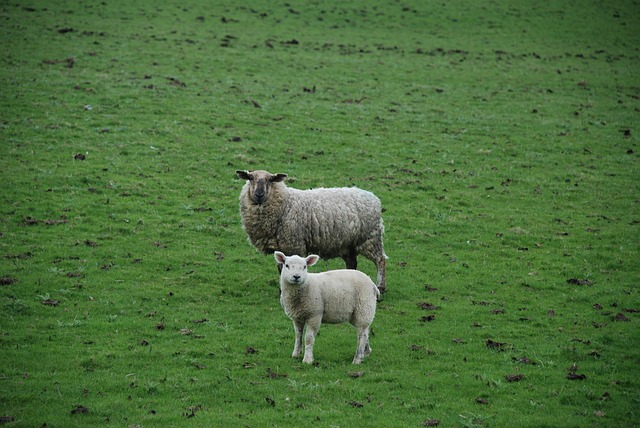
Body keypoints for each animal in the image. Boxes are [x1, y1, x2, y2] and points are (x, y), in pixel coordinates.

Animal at [236, 169, 387, 293]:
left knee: (380, 260)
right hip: (348, 244)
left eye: (271, 179)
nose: (259, 194)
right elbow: (281, 268)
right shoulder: (279, 246)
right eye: (250, 178)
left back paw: (380, 287)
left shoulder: (294, 244)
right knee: (352, 263)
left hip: (370, 237)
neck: (285, 204)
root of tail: (373, 197)